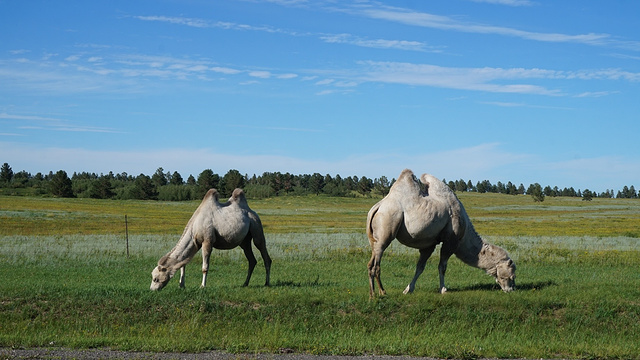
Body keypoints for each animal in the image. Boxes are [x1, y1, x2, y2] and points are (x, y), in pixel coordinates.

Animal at [364, 170, 516, 296]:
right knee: (376, 263)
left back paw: (373, 293)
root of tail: (377, 207)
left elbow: (420, 267)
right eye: (512, 275)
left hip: (374, 238)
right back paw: (381, 292)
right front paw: (443, 289)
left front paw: (408, 289)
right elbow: (442, 267)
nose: (511, 289)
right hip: (387, 227)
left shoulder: (429, 244)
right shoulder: (451, 241)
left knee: (371, 261)